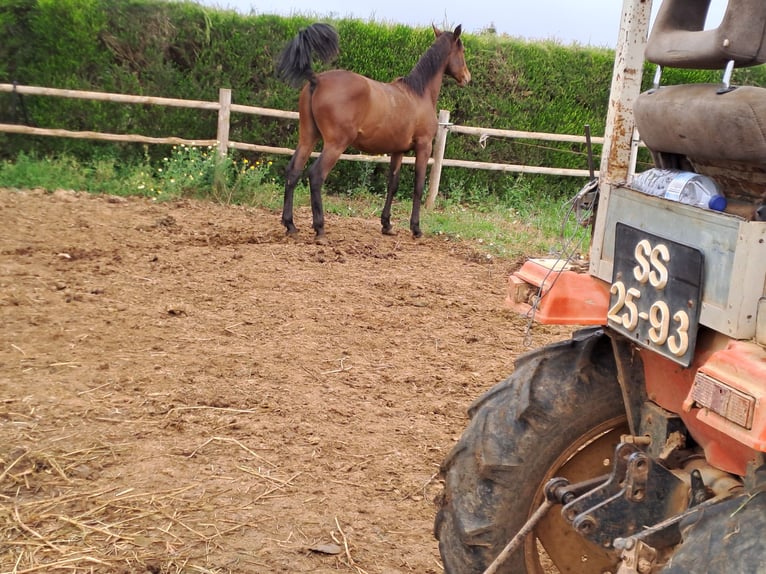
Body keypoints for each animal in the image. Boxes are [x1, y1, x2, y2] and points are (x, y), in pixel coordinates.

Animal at [276, 22, 471, 241]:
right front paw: (416, 228)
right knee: (316, 175)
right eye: (462, 50)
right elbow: (418, 186)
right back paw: (320, 228)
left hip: (307, 138)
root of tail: (316, 79)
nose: (467, 78)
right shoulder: (424, 146)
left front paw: (387, 224)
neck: (419, 93)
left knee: (293, 172)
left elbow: (392, 184)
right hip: (335, 145)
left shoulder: (398, 151)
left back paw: (290, 225)